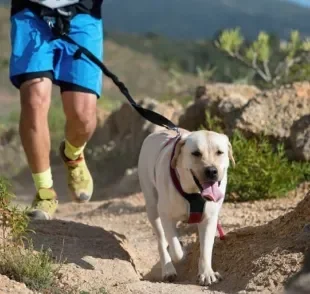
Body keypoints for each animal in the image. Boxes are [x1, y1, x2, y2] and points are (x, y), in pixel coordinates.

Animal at [137, 127, 234, 286]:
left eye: (220, 152)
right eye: (196, 153)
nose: (212, 171)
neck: (194, 193)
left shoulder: (209, 219)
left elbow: (206, 248)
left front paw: (207, 273)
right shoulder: (166, 217)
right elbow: (176, 251)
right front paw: (177, 251)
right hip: (152, 208)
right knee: (161, 240)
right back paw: (168, 269)